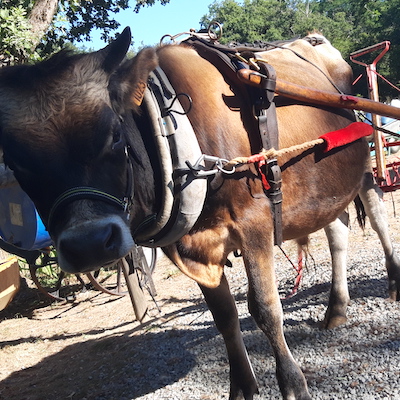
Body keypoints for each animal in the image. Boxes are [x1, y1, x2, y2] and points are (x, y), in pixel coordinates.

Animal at [0, 28, 372, 400]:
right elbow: (224, 317)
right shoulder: (194, 244)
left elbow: (265, 308)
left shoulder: (254, 223)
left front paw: (293, 385)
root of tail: (313, 39)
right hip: (329, 188)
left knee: (376, 217)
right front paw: (243, 387)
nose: (88, 244)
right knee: (338, 231)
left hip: (367, 164)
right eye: (15, 163)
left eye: (115, 135)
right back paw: (336, 308)